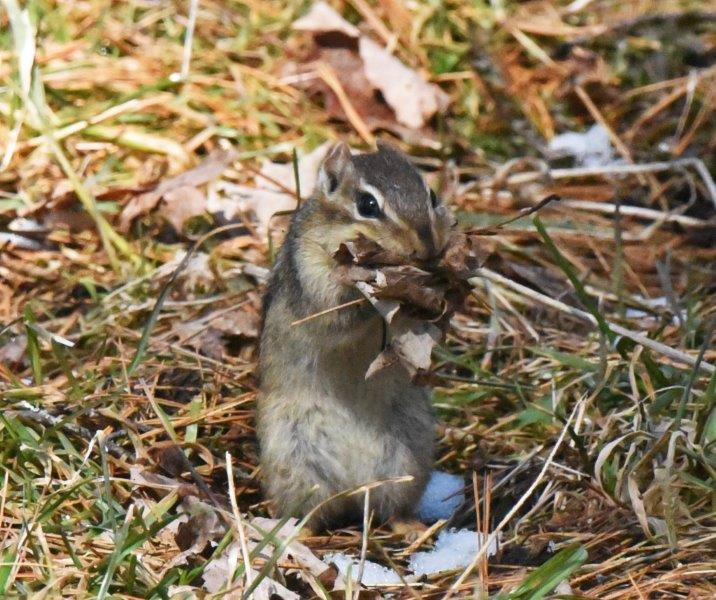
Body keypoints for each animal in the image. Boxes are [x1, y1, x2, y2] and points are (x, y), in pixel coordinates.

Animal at [257, 141, 455, 535]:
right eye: (367, 205)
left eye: (431, 195)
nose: (428, 248)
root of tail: (352, 489)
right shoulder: (312, 276)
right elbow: (334, 315)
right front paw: (372, 286)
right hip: (294, 461)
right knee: (309, 513)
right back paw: (297, 534)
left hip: (408, 457)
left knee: (393, 509)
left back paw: (413, 528)